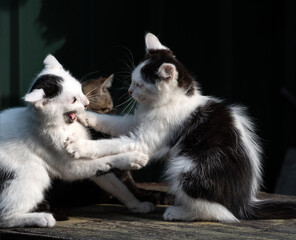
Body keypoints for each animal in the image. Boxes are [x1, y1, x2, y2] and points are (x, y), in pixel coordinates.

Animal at [66, 32, 296, 222]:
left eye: (139, 84)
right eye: (132, 81)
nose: (130, 91)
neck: (169, 102)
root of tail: (244, 203)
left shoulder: (145, 140)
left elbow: (113, 143)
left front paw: (79, 146)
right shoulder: (136, 122)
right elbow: (115, 124)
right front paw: (85, 114)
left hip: (187, 166)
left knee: (221, 213)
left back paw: (179, 212)